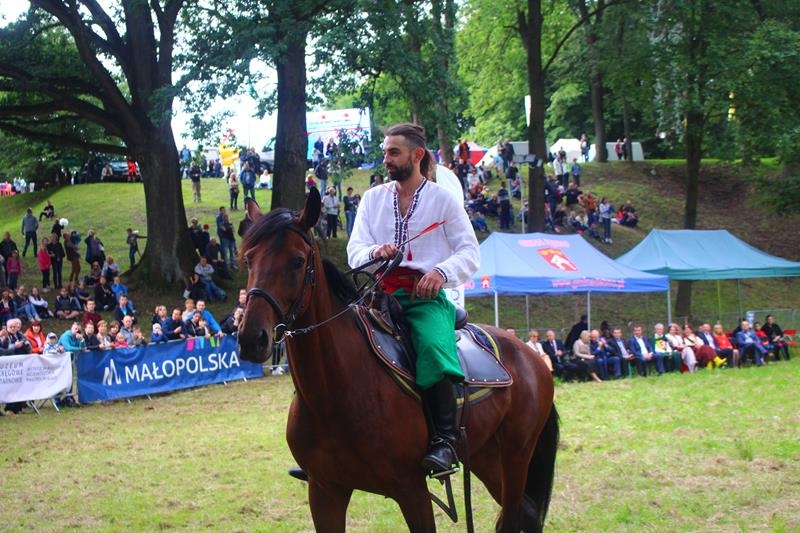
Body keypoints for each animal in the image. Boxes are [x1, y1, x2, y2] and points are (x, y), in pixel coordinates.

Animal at [237, 188, 559, 532]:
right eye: (249, 259)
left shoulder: (411, 489)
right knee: (527, 511)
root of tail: (530, 355)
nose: (251, 338)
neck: (334, 394)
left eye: (297, 261)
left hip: (516, 455)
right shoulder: (324, 491)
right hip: (486, 455)